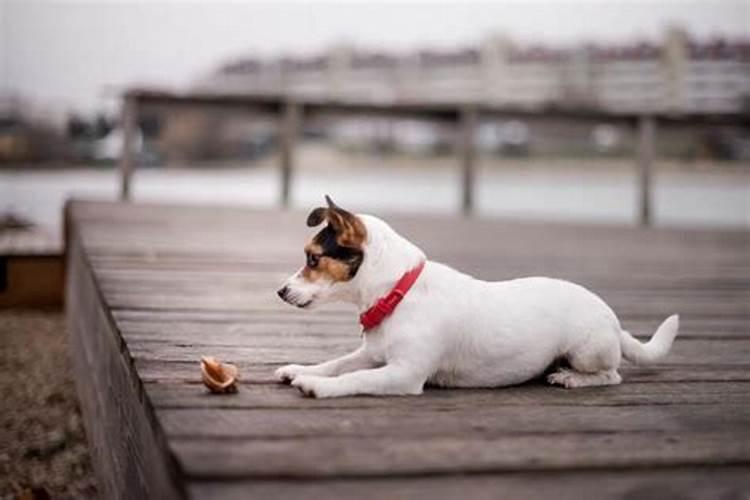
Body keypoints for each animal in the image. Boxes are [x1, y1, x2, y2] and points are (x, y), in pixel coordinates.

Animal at [274, 195, 680, 398]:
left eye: (312, 259)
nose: (280, 291)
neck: (399, 293)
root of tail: (614, 322)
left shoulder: (404, 374)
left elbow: (353, 379)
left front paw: (317, 385)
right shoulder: (371, 355)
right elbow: (337, 363)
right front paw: (301, 370)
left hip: (586, 350)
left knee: (612, 375)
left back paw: (572, 379)